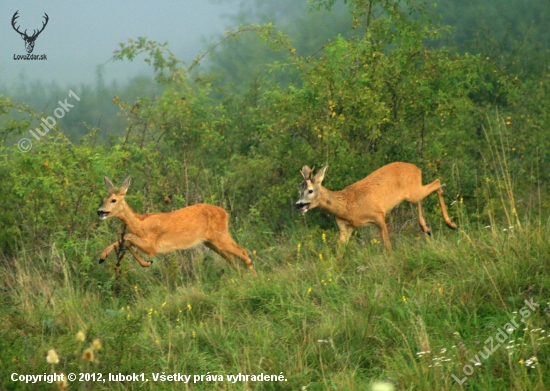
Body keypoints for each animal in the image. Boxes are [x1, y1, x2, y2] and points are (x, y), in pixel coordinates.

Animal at [98, 176, 258, 278]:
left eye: (113, 200)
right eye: (104, 199)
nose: (99, 211)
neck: (139, 223)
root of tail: (225, 213)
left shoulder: (153, 245)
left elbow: (126, 237)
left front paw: (102, 256)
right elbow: (126, 241)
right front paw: (146, 263)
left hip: (220, 236)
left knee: (243, 252)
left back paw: (254, 280)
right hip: (211, 242)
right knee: (231, 258)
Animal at [298, 162, 458, 251]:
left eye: (310, 190)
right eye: (299, 190)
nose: (298, 204)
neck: (346, 206)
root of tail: (417, 168)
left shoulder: (378, 215)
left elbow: (387, 244)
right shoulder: (345, 227)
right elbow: (339, 251)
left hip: (413, 192)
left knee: (437, 183)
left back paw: (451, 224)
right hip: (413, 192)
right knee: (425, 194)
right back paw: (426, 228)